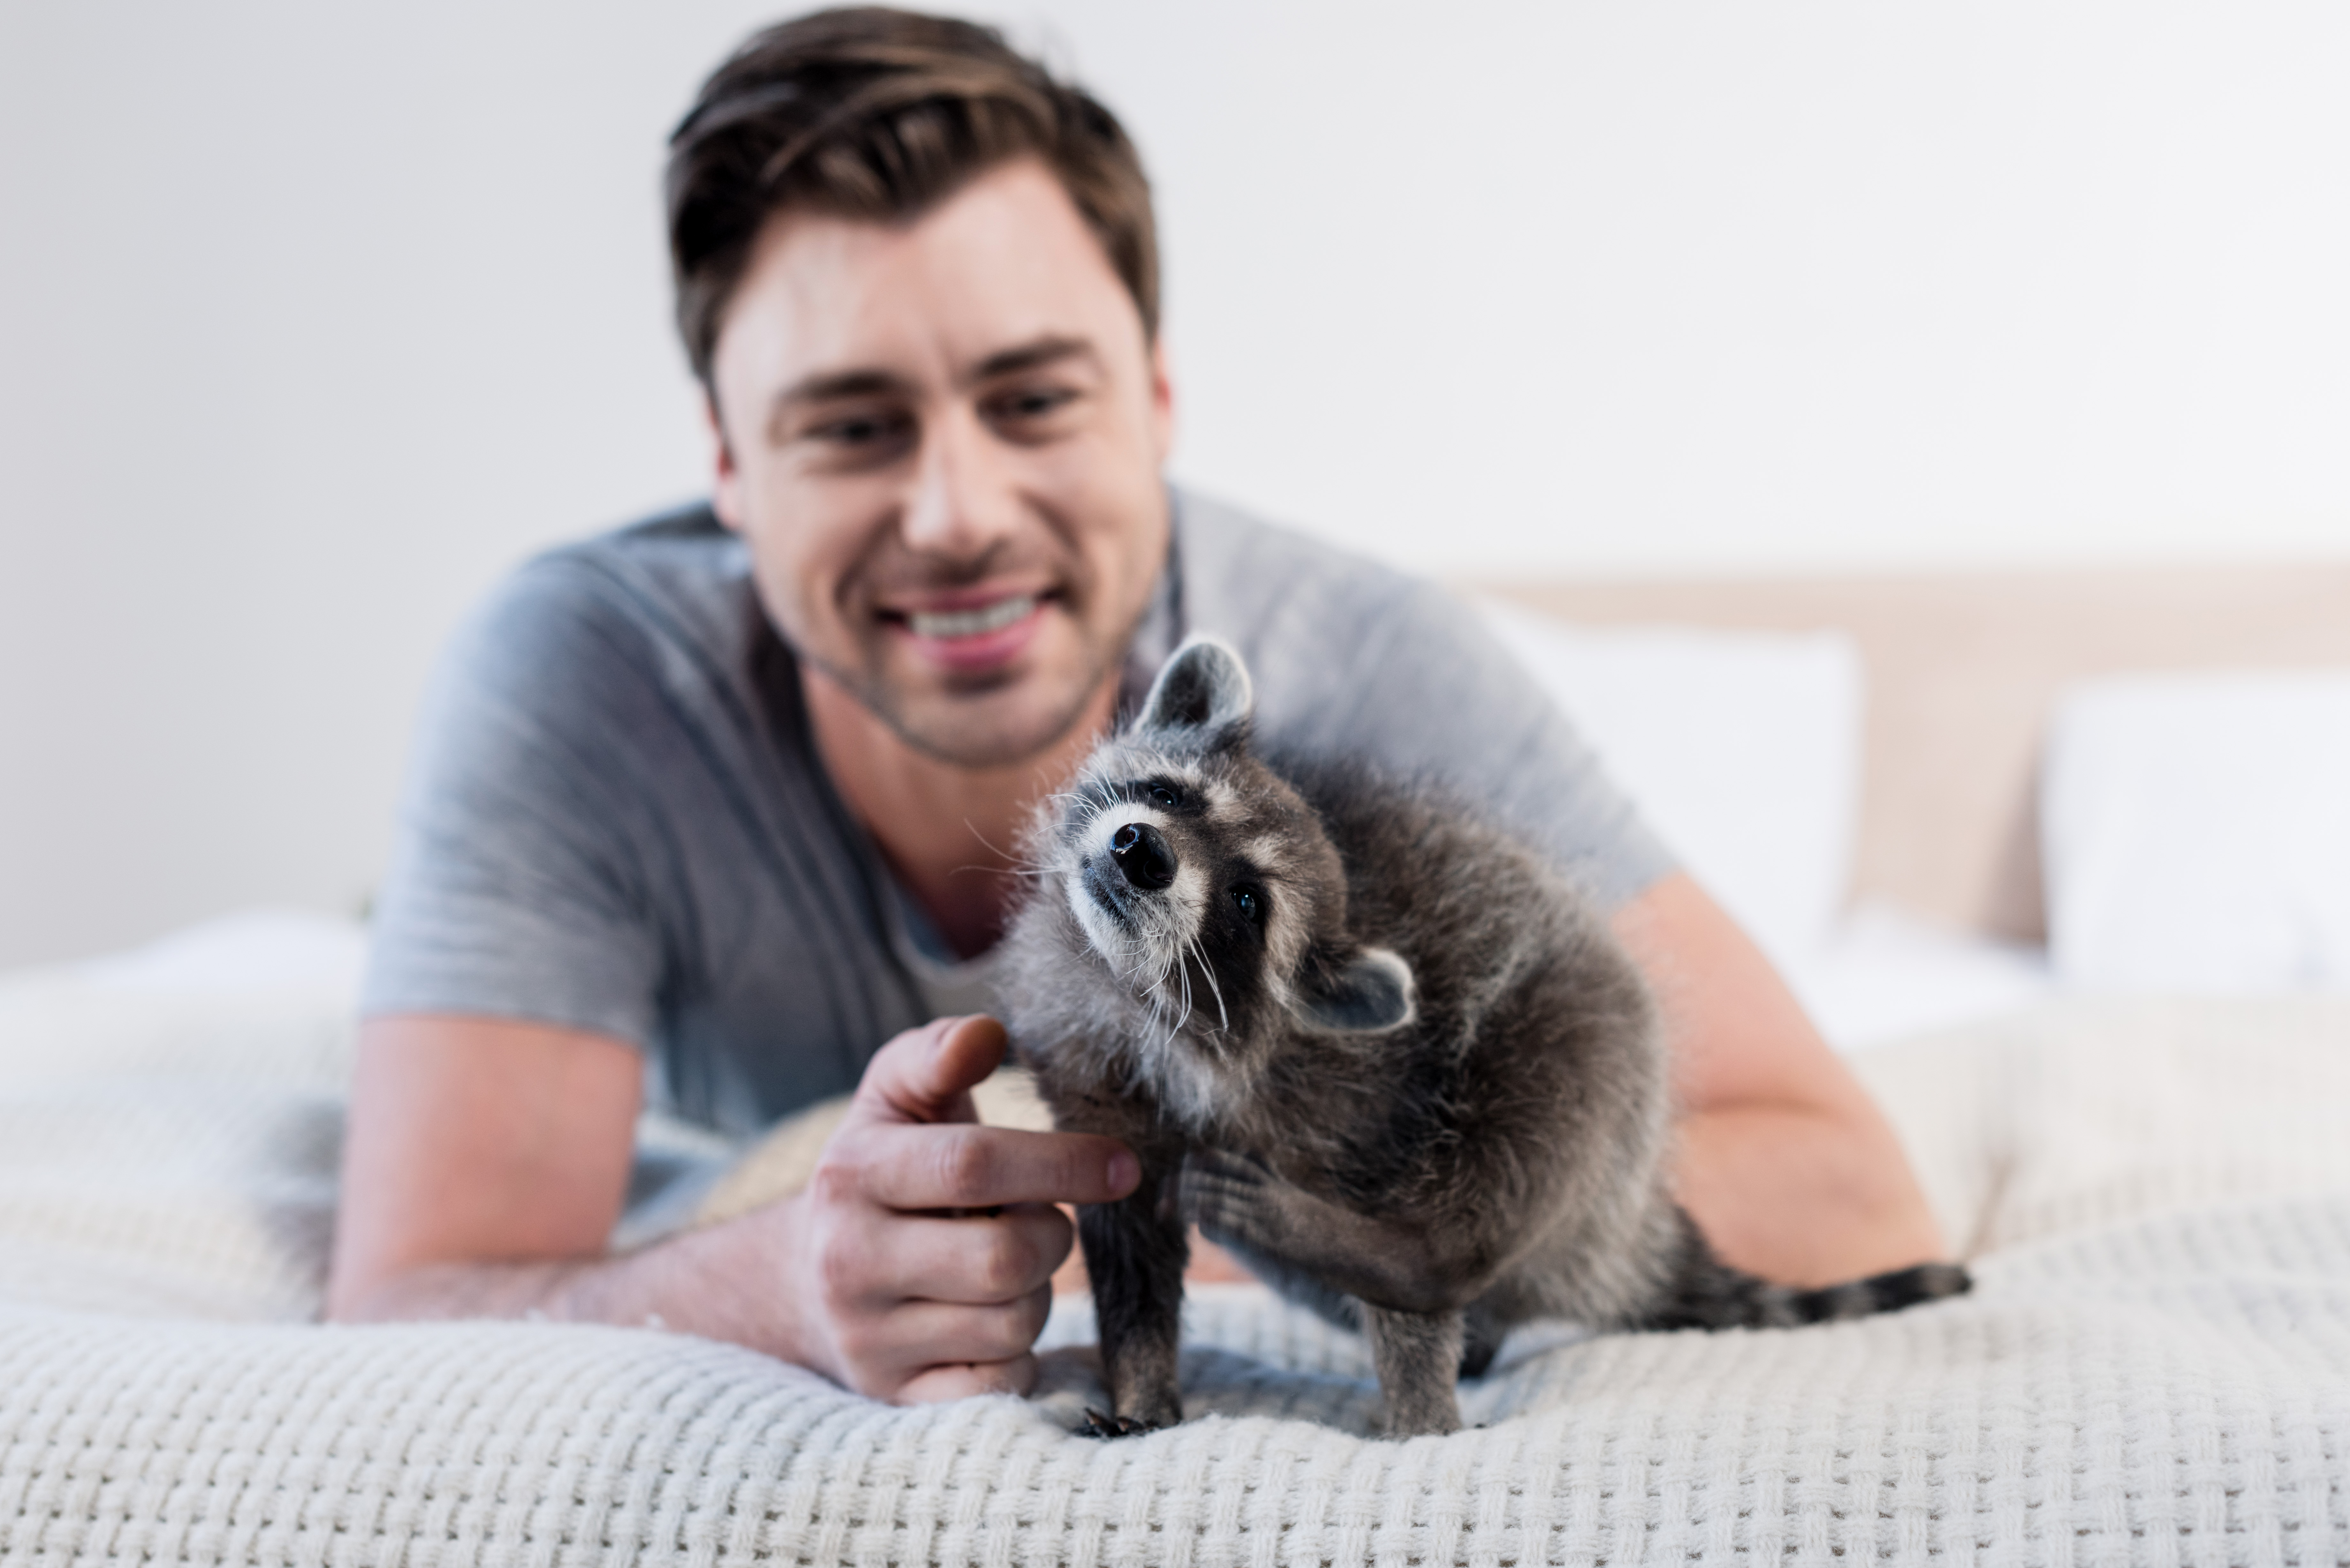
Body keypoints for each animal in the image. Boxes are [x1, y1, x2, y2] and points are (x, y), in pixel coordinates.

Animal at [996, 635, 1969, 1437]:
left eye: (1245, 901)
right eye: (1169, 793)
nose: (1141, 850)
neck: (1124, 986)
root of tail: (1628, 1224)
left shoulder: (1358, 1097)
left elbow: (1412, 1280)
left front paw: (1421, 1409)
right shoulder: (1090, 1076)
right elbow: (1131, 1249)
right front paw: (1143, 1386)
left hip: (1595, 1045)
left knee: (1515, 1140)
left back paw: (1411, 1255)